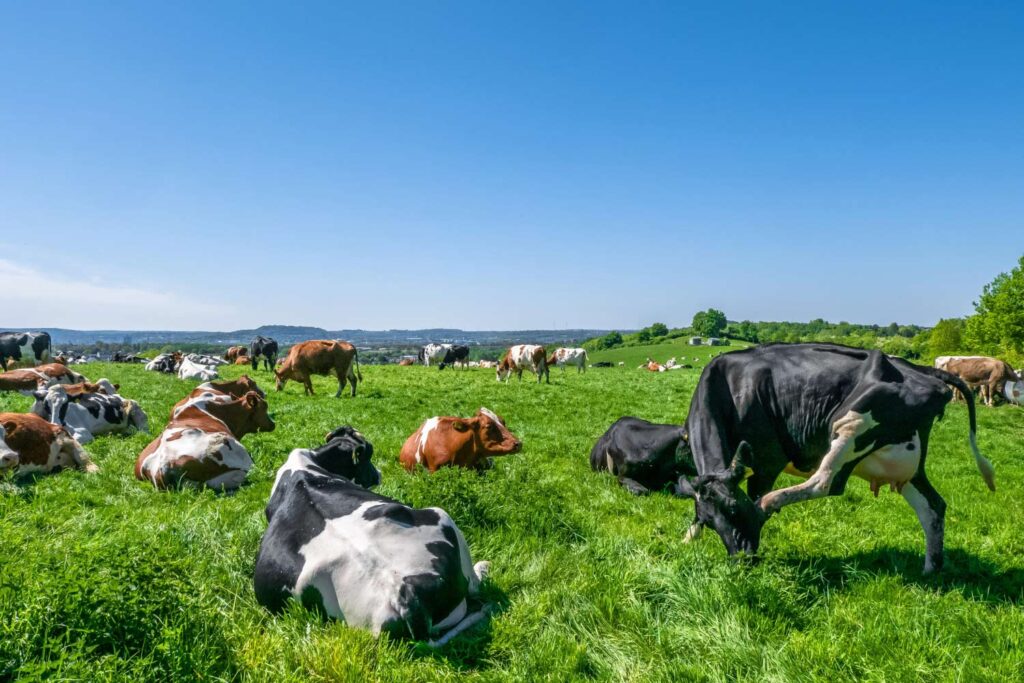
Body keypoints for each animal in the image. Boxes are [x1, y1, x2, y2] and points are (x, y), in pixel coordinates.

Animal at [249, 428, 485, 647]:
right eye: (368, 456)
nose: (379, 473)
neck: (303, 466)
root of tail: (404, 594)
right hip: (441, 514)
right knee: (475, 585)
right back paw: (483, 567)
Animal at [675, 344, 995, 573]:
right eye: (711, 522)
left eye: (733, 508)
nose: (742, 558)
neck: (730, 388)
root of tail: (921, 369)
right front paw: (686, 539)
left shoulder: (767, 461)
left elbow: (755, 494)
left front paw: (756, 514)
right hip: (906, 464)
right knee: (933, 506)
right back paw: (931, 570)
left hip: (851, 422)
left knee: (826, 482)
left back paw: (770, 503)